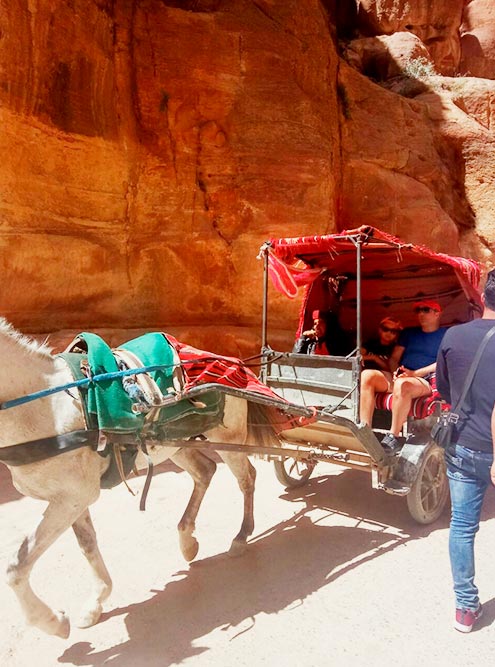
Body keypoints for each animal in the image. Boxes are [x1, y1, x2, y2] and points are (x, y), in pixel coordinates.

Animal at [0, 320, 280, 640]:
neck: (44, 409)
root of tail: (233, 362)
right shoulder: (72, 498)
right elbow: (87, 545)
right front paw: (96, 601)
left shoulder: (73, 497)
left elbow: (16, 567)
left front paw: (53, 622)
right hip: (174, 444)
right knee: (205, 471)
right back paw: (187, 540)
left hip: (226, 437)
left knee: (246, 478)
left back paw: (241, 536)